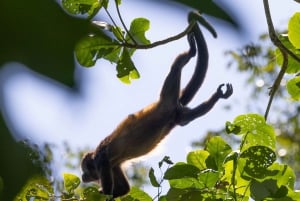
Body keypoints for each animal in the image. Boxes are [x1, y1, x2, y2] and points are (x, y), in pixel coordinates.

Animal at [81, 13, 233, 198]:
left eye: (85, 170)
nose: (82, 176)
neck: (96, 154)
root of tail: (170, 106)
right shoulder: (113, 165)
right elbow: (124, 189)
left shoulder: (101, 160)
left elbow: (109, 191)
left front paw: (99, 192)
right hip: (177, 115)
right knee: (190, 115)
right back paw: (215, 97)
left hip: (168, 95)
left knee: (176, 68)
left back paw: (191, 53)